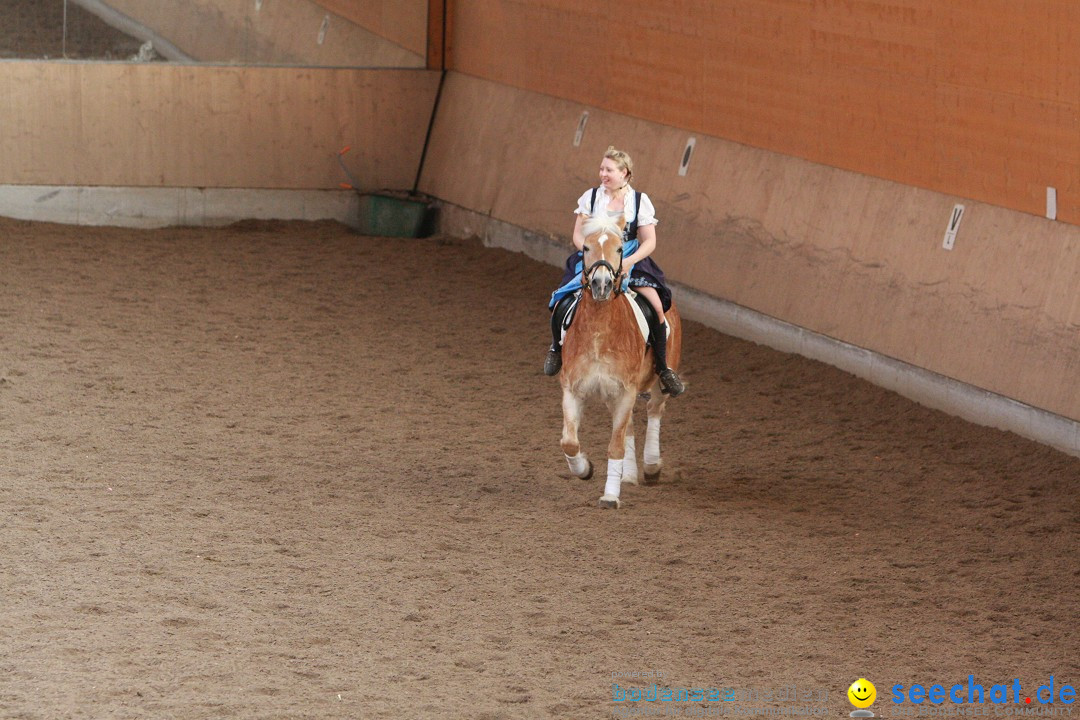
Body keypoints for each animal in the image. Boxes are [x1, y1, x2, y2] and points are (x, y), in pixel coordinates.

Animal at [557, 213, 682, 507]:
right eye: (586, 248)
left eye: (618, 249)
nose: (601, 285)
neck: (599, 333)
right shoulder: (574, 388)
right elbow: (569, 441)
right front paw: (584, 469)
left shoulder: (625, 390)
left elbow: (615, 445)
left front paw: (610, 496)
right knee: (630, 428)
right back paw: (630, 476)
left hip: (658, 379)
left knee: (654, 411)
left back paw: (651, 467)